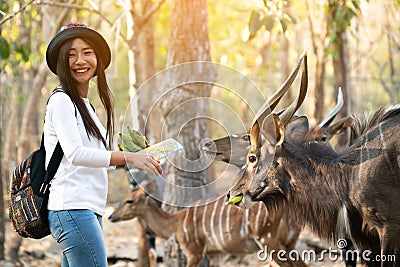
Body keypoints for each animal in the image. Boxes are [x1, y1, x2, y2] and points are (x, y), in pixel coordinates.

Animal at [107, 180, 306, 267]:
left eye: (129, 201)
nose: (111, 217)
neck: (176, 223)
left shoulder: (194, 251)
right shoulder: (214, 252)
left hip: (268, 241)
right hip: (288, 244)